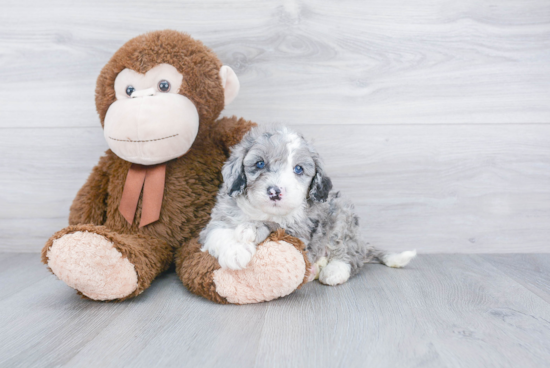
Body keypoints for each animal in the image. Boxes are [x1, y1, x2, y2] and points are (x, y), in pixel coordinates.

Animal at [201, 125, 416, 286]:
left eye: (298, 169)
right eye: (260, 164)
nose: (275, 191)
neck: (265, 212)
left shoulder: (299, 232)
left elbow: (273, 226)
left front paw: (250, 230)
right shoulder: (218, 219)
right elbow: (218, 232)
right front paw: (234, 251)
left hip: (342, 216)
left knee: (350, 255)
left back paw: (334, 271)